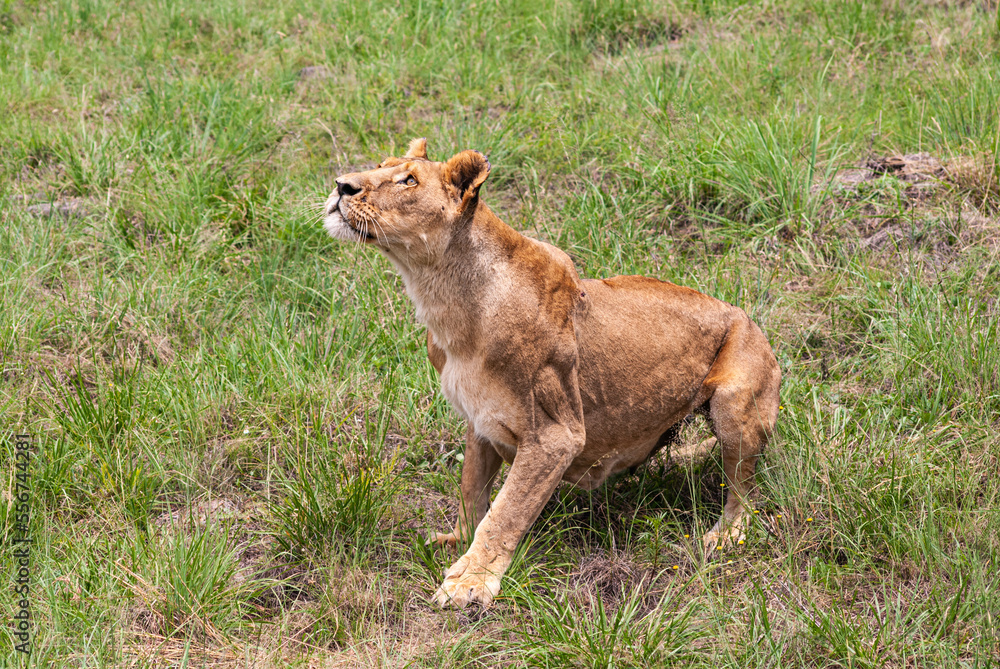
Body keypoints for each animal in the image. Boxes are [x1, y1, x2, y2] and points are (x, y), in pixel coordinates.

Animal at [323, 138, 781, 609]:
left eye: (408, 180)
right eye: (382, 165)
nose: (341, 185)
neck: (444, 298)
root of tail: (745, 315)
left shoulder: (554, 435)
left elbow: (505, 513)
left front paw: (470, 581)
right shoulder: (480, 420)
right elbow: (471, 490)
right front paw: (457, 541)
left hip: (735, 399)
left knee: (745, 487)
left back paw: (727, 534)